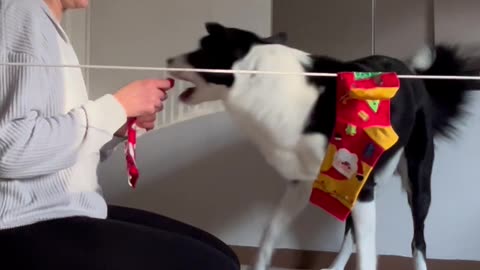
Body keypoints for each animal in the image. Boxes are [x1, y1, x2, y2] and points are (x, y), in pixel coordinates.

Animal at [167, 22, 478, 268]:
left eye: (201, 49)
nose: (168, 59)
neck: (263, 78)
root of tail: (414, 74)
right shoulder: (302, 183)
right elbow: (270, 233)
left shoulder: (362, 186)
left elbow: (368, 255)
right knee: (352, 236)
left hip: (417, 180)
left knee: (418, 240)